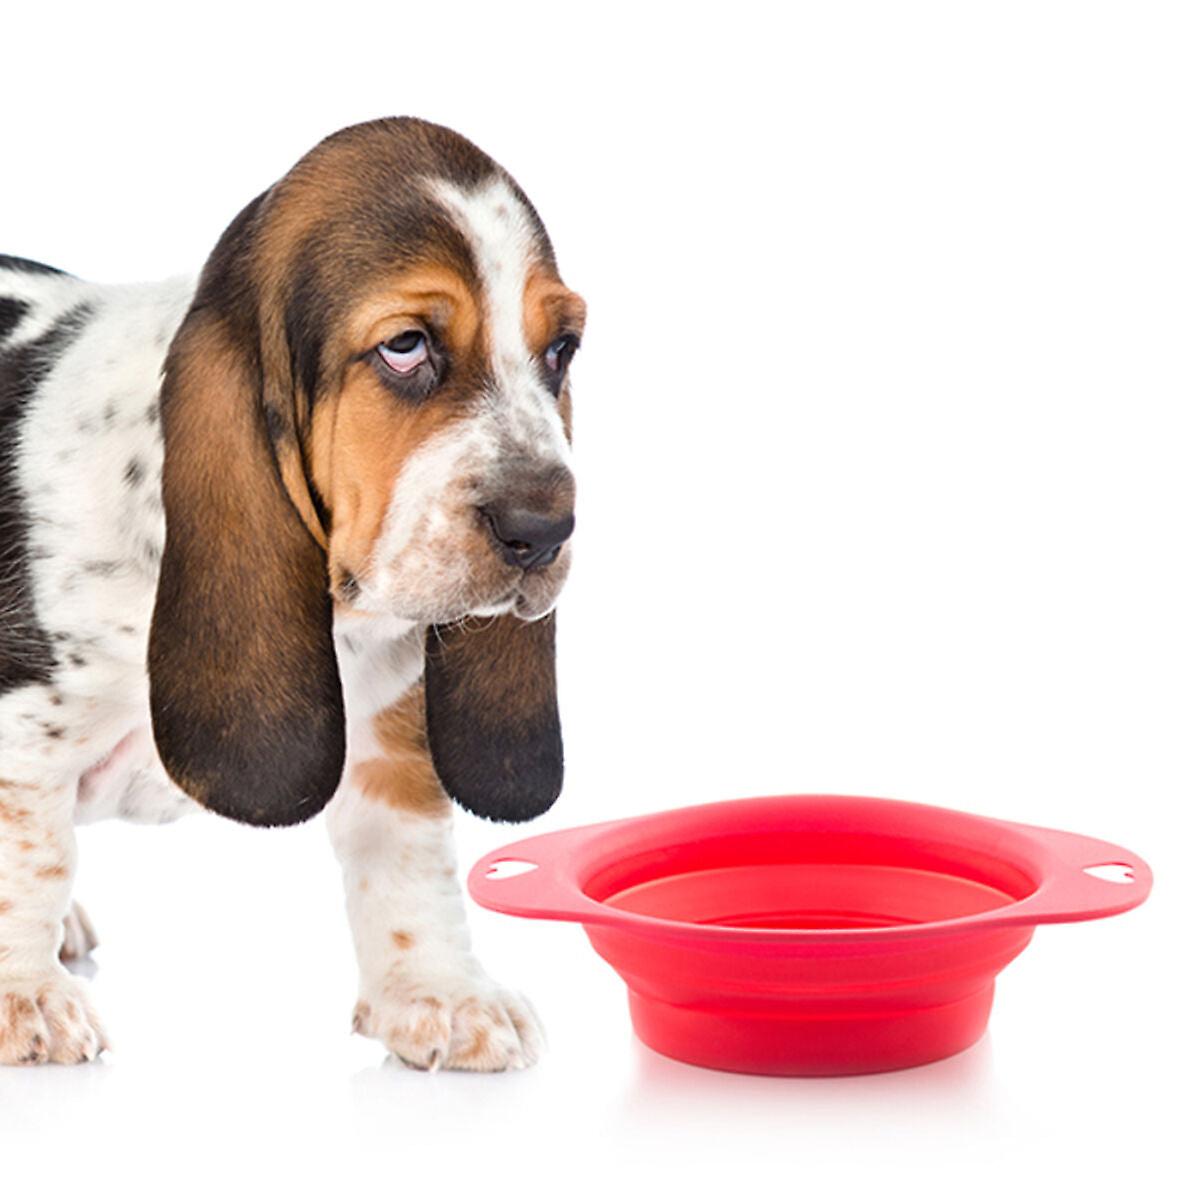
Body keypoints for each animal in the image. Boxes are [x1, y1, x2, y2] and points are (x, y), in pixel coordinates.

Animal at [0, 119, 585, 1070]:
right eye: (406, 346)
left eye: (561, 350)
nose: (543, 528)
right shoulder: (25, 733)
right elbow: (29, 857)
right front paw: (24, 999)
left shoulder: (395, 726)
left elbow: (408, 858)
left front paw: (440, 992)